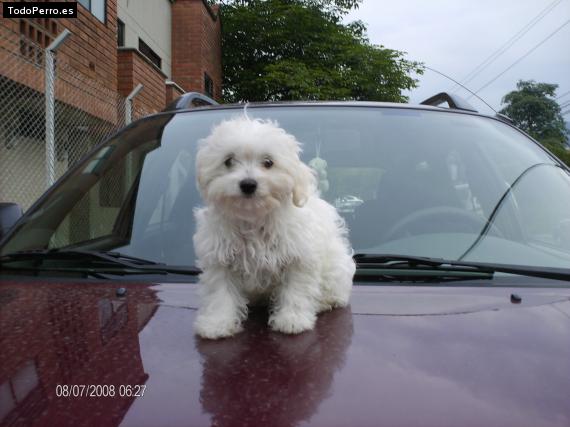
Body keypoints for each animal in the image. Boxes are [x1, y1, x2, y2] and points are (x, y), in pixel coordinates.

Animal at [194, 115, 356, 340]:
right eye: (228, 161)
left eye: (268, 162)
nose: (248, 184)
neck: (254, 218)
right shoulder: (219, 259)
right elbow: (220, 293)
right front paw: (217, 323)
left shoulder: (299, 258)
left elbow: (296, 290)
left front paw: (292, 320)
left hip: (336, 267)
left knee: (336, 292)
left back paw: (324, 302)